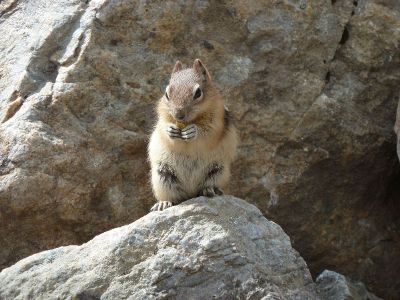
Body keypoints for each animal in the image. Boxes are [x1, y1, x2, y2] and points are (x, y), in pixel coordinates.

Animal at [149, 58, 238, 211]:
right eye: (166, 94)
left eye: (197, 93)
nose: (178, 114)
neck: (192, 120)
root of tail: (190, 195)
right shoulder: (163, 117)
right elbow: (163, 129)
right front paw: (170, 130)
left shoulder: (217, 120)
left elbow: (208, 133)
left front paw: (193, 131)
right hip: (163, 175)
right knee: (173, 197)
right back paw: (163, 203)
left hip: (218, 171)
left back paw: (210, 190)